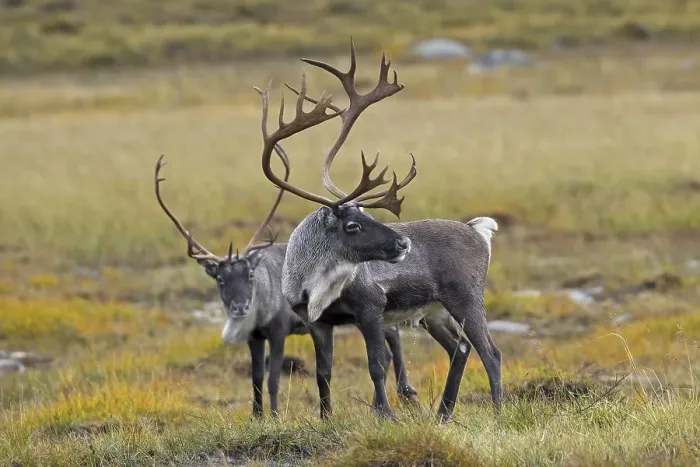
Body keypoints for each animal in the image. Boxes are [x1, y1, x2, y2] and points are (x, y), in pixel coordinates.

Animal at [153, 147, 423, 419]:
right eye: (220, 279)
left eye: (250, 275)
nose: (404, 243)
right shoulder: (256, 336)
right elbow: (256, 376)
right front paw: (257, 417)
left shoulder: (280, 329)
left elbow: (273, 378)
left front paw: (274, 416)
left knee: (392, 341)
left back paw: (403, 394)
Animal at [251, 39, 502, 421]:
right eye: (353, 225)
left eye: (367, 214)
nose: (404, 243)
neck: (315, 281)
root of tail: (479, 232)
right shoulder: (317, 322)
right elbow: (324, 371)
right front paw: (326, 418)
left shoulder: (370, 308)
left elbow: (376, 364)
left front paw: (385, 414)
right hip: (433, 311)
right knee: (460, 348)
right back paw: (443, 413)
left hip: (465, 297)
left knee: (490, 351)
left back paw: (500, 409)